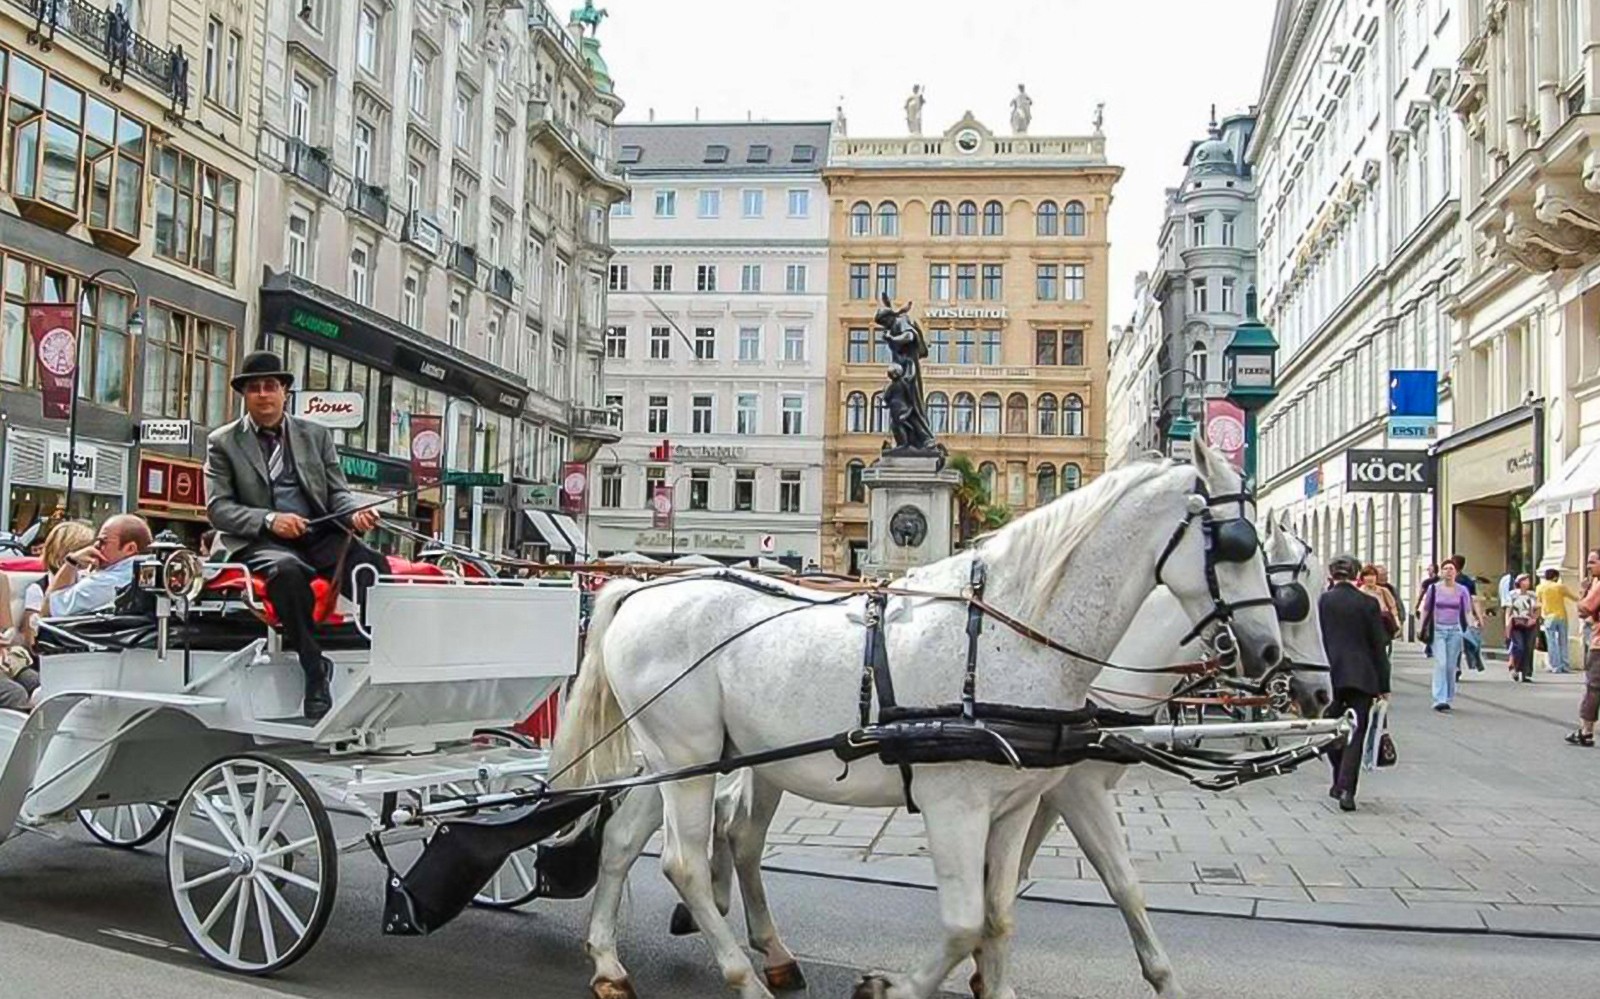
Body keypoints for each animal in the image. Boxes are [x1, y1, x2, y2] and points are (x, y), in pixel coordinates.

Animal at [550, 441, 1282, 999]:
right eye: (1237, 543)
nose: (1269, 653)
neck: (1009, 632)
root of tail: (642, 588)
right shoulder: (954, 804)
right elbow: (962, 922)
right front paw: (893, 987)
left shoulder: (1016, 805)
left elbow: (1000, 914)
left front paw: (994, 985)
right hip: (687, 761)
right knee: (685, 863)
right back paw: (745, 977)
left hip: (677, 761)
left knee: (625, 843)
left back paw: (611, 963)